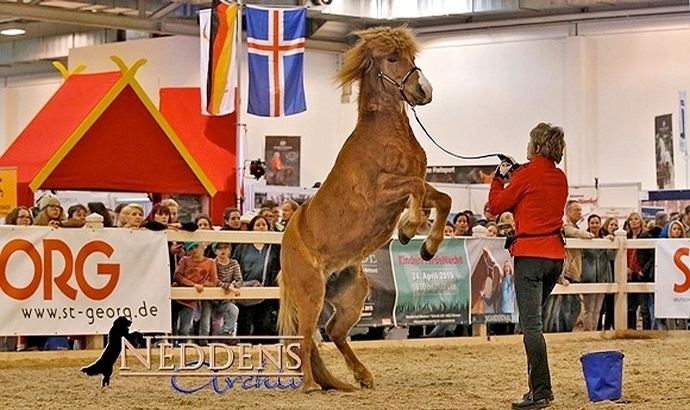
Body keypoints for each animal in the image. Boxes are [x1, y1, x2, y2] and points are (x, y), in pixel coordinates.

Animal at [278, 27, 452, 392]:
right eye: (392, 58)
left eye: (412, 57)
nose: (424, 91)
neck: (383, 134)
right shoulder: (382, 192)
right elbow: (416, 190)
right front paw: (408, 229)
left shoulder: (416, 184)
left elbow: (442, 199)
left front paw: (427, 247)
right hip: (311, 293)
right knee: (305, 338)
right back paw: (311, 385)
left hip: (352, 296)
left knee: (334, 332)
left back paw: (362, 376)